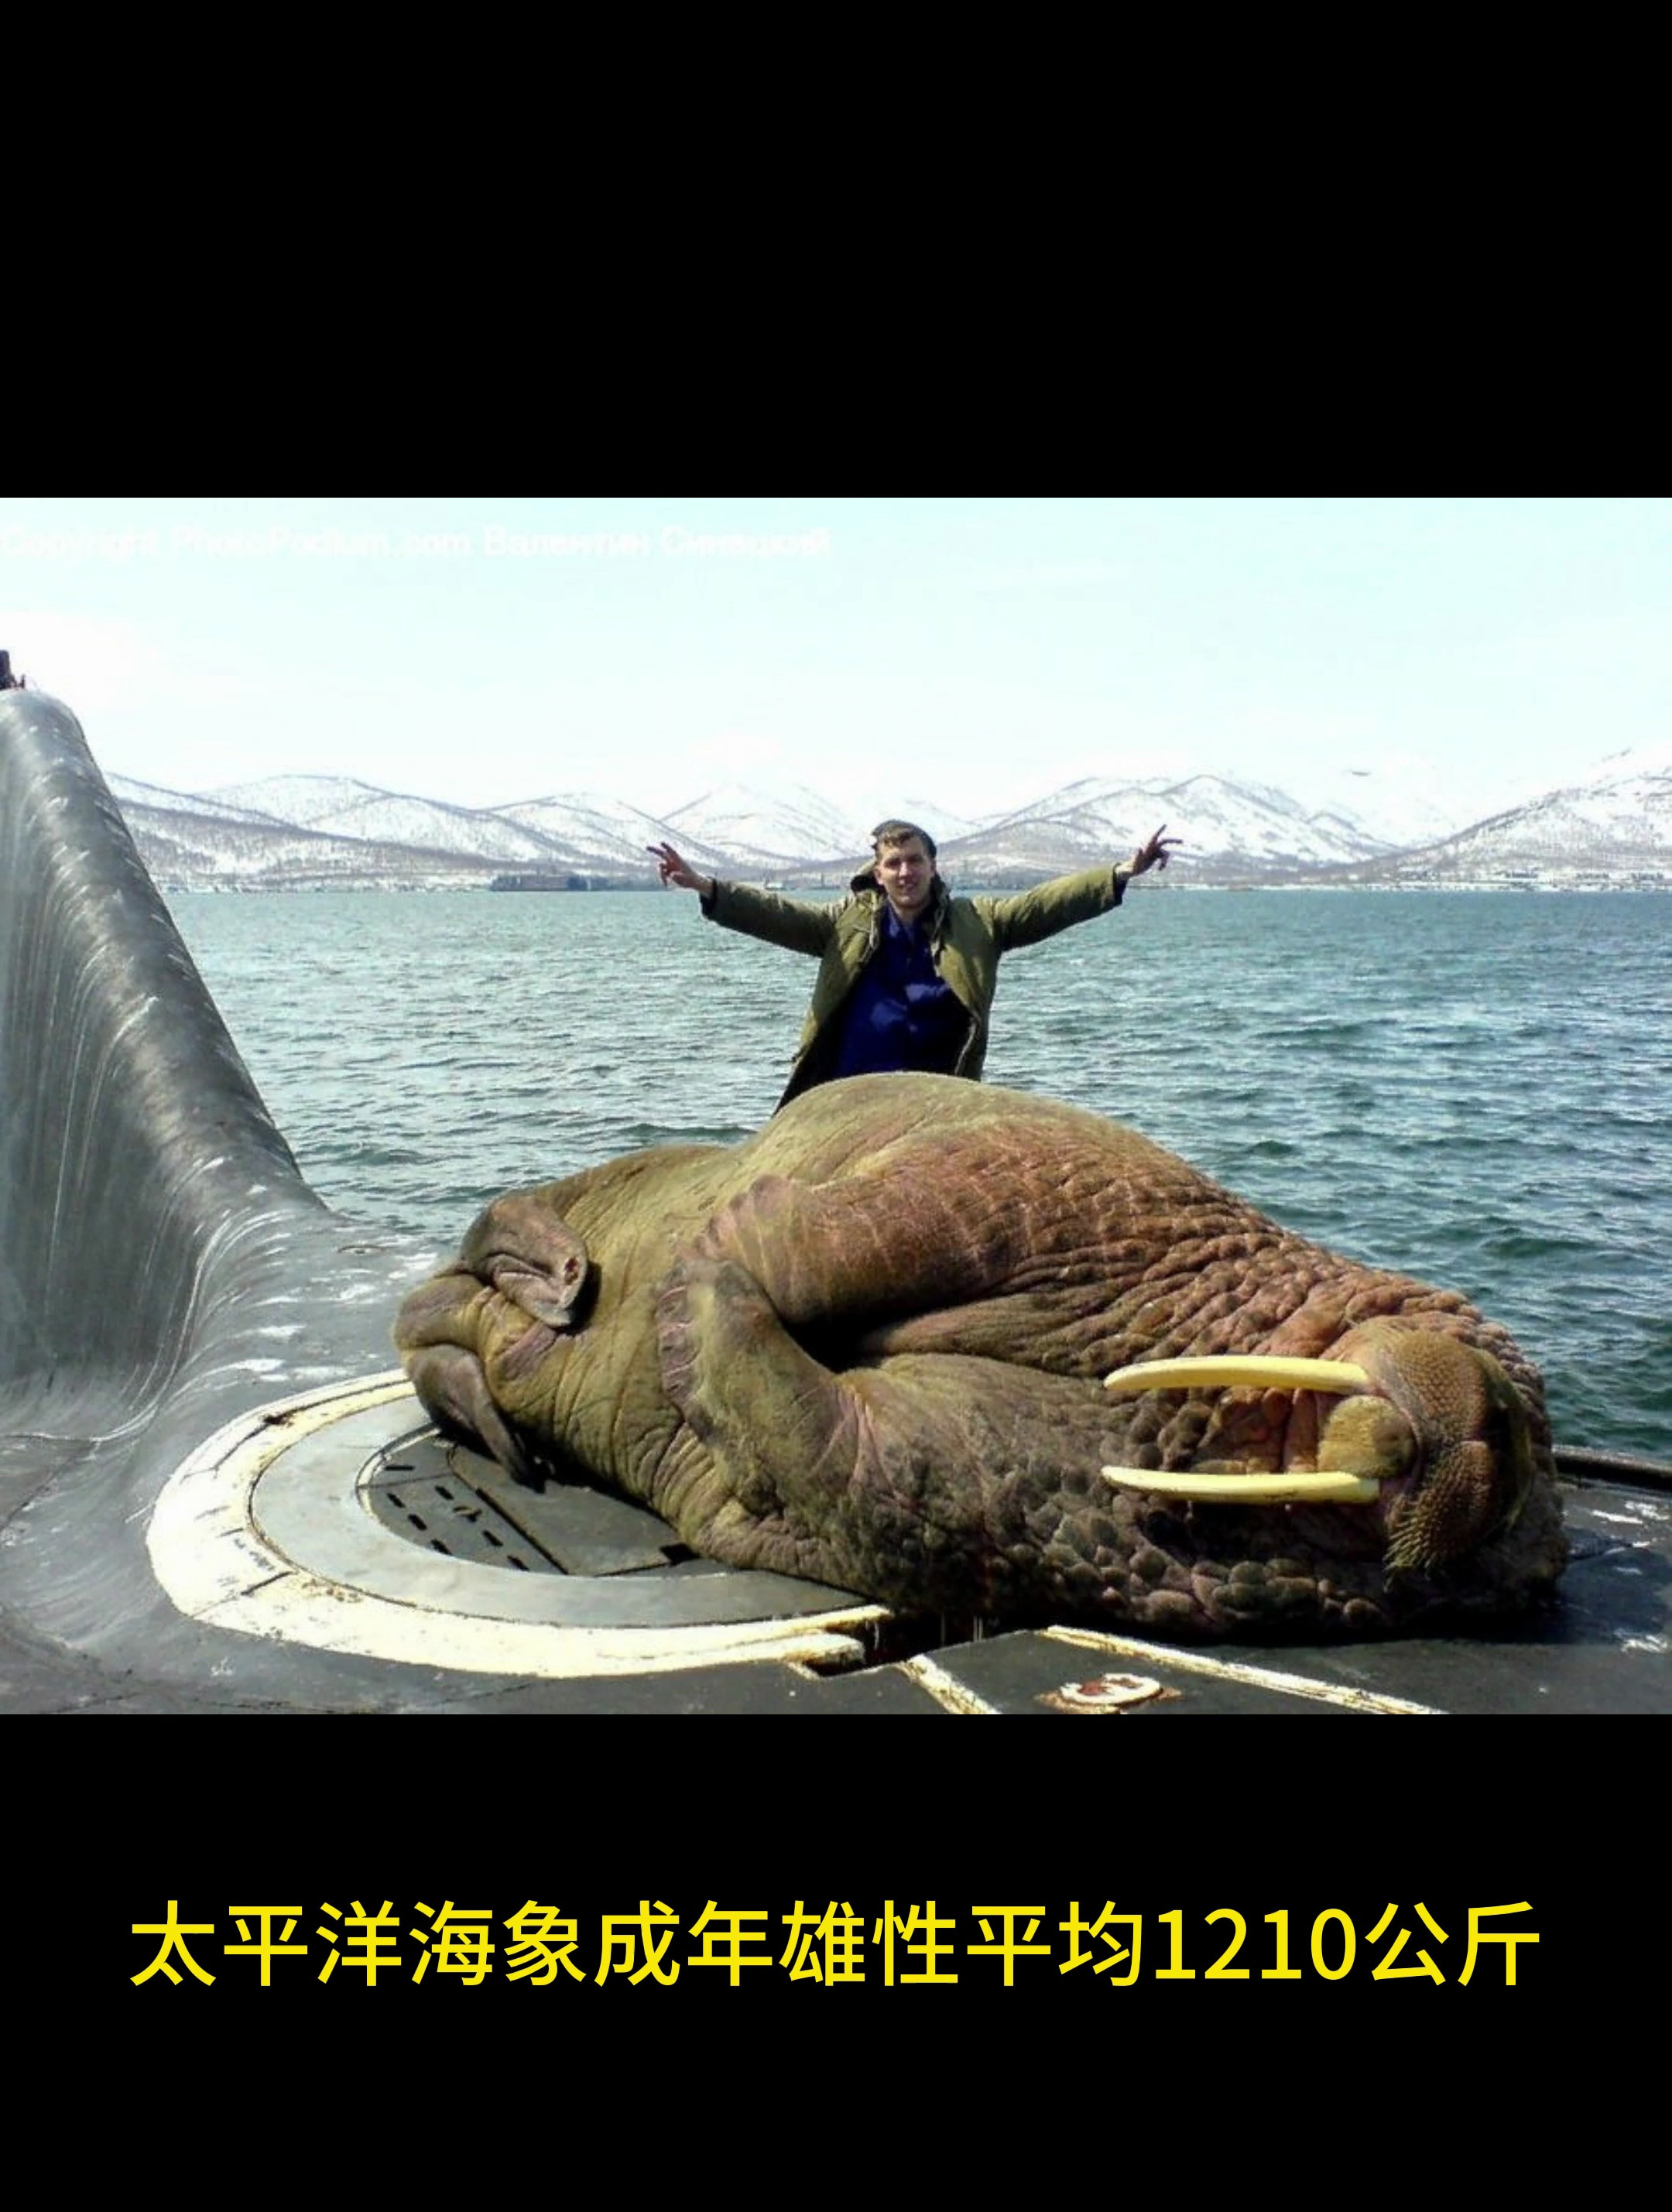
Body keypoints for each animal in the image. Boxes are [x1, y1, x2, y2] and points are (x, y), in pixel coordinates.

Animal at [393, 1074, 1565, 1640]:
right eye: (1520, 1409)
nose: (1499, 1452)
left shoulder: (1005, 1497)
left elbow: (851, 1461)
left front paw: (700, 1297)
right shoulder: (1016, 1192)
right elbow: (820, 1239)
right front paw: (715, 1258)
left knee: (440, 1319)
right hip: (625, 1175)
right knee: (481, 1246)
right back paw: (552, 1272)